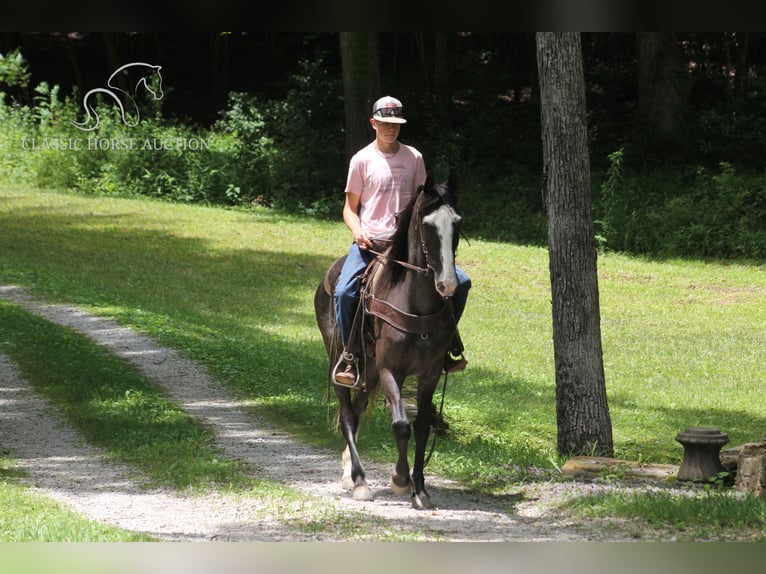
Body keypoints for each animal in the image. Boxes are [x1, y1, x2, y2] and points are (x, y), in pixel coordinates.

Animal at [314, 170, 462, 508]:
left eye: (458, 222)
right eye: (427, 224)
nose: (447, 284)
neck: (415, 303)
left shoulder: (429, 373)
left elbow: (421, 426)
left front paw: (420, 489)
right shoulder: (389, 369)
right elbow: (401, 425)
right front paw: (399, 478)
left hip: (367, 371)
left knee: (357, 409)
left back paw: (349, 472)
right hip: (343, 361)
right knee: (347, 415)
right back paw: (359, 481)